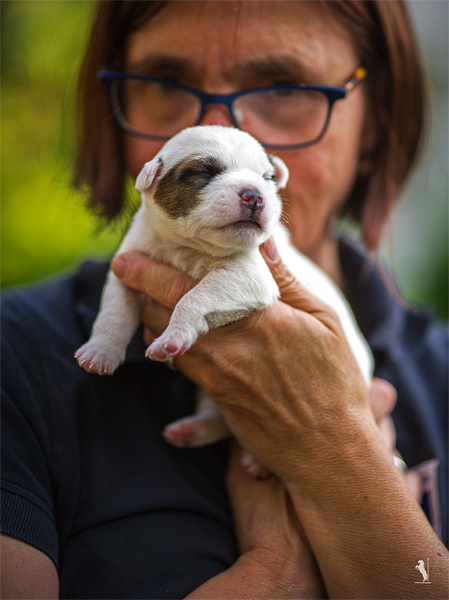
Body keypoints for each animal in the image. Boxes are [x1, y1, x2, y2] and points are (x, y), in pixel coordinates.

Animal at [75, 124, 372, 476]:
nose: (255, 195)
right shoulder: (127, 267)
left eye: (268, 178)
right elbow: (114, 312)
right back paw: (191, 430)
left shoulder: (246, 275)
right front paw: (100, 353)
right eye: (204, 173)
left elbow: (193, 297)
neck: (188, 248)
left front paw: (173, 336)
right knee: (219, 418)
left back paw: (256, 460)